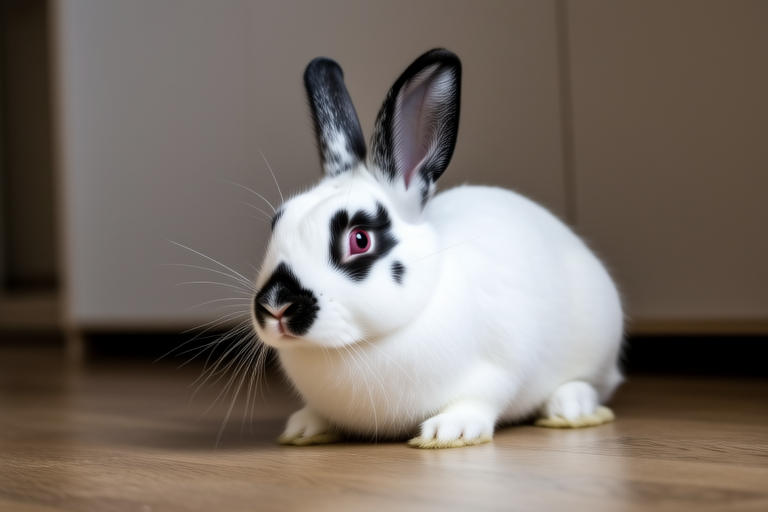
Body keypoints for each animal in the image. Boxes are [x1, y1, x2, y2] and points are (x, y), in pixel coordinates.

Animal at [251, 49, 624, 449]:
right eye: (276, 225)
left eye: (360, 239)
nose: (276, 306)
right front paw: (304, 428)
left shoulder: (502, 365)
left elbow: (484, 397)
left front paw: (449, 431)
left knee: (593, 383)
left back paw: (569, 408)